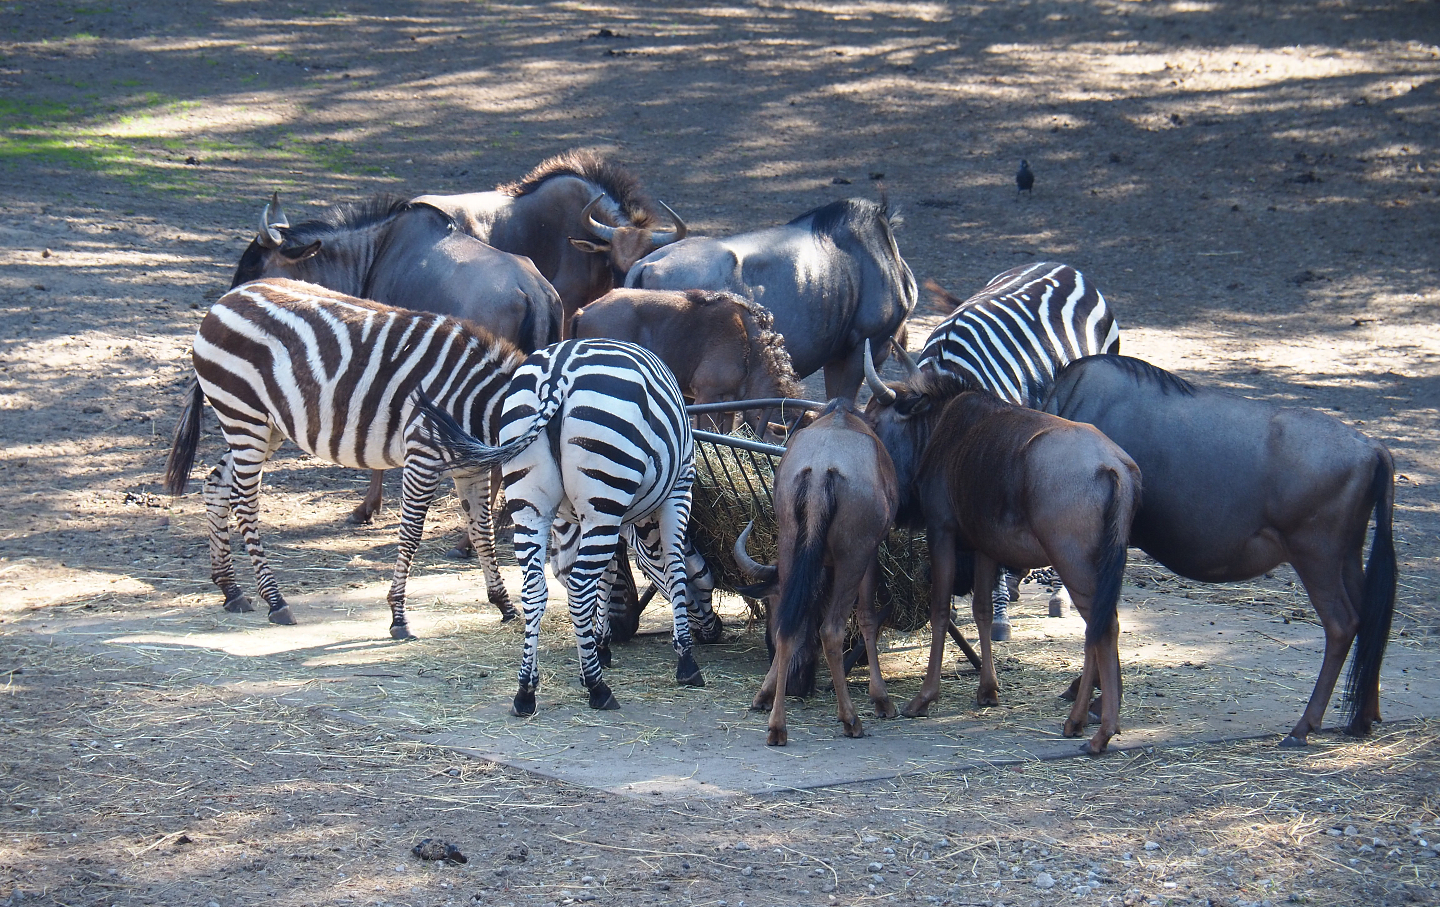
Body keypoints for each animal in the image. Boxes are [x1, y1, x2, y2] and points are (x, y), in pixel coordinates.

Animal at [162, 277, 524, 636]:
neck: (478, 403)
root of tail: (226, 298)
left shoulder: (470, 470)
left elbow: (483, 533)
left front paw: (505, 605)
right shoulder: (422, 457)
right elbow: (411, 534)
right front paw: (398, 616)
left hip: (265, 425)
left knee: (216, 486)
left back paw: (231, 589)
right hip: (243, 415)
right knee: (244, 501)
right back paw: (276, 601)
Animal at [418, 339, 711, 717]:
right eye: (704, 583)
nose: (715, 633)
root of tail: (557, 374)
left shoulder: (593, 519)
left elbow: (608, 577)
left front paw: (600, 646)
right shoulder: (679, 489)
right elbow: (672, 569)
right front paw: (686, 661)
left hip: (533, 506)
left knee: (535, 590)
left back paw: (526, 691)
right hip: (604, 491)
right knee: (580, 586)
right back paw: (598, 689)